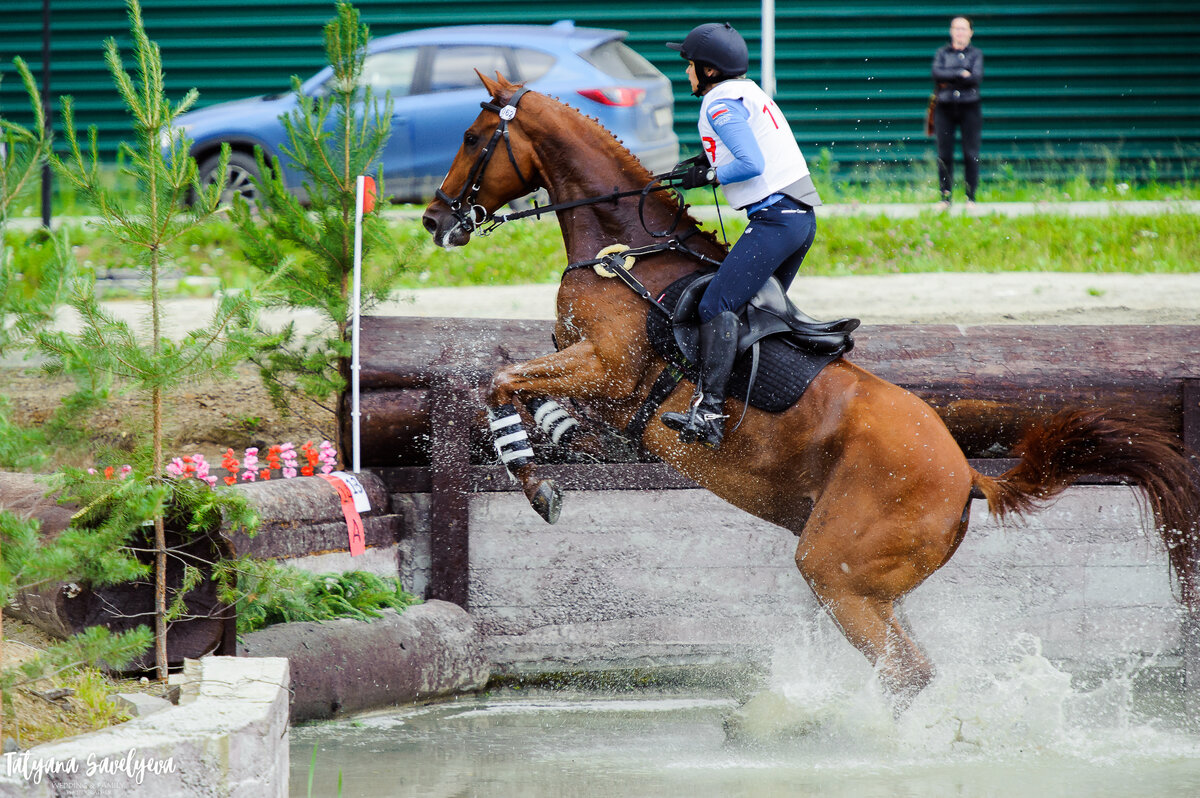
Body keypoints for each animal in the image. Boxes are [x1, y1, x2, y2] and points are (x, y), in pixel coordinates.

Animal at [424, 74, 1200, 710]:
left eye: (471, 138)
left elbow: (500, 381)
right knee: (910, 667)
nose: (434, 219)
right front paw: (558, 439)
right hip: (874, 587)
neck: (626, 254)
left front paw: (539, 484)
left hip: (835, 569)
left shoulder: (609, 371)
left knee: (906, 671)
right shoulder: (588, 373)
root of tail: (969, 476)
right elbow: (525, 391)